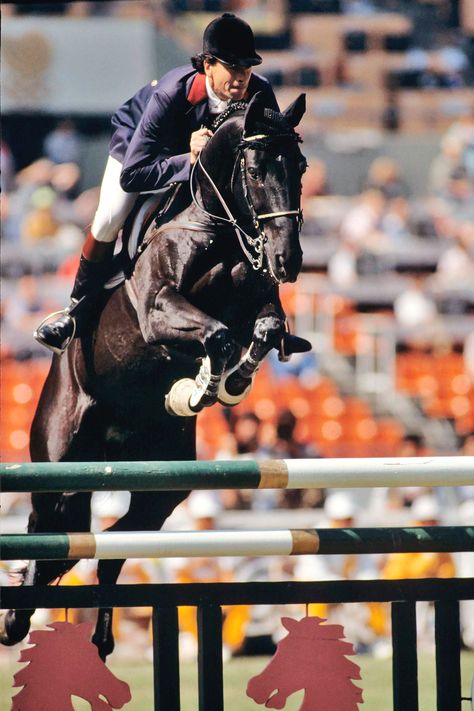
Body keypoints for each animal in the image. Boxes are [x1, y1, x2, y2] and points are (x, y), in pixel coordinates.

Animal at [0, 92, 310, 660]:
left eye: (299, 167)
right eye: (256, 169)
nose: (287, 260)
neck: (219, 228)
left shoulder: (257, 304)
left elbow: (264, 329)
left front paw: (226, 384)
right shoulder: (158, 310)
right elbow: (216, 335)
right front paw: (200, 387)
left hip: (161, 487)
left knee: (108, 549)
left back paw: (100, 640)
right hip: (58, 461)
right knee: (47, 528)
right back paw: (15, 620)